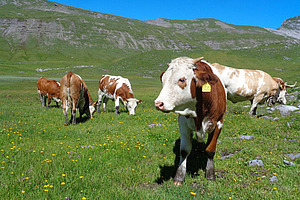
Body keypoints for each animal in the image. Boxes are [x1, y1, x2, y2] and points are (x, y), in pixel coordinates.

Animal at [155, 56, 225, 186]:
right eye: (163, 79)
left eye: (182, 79)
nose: (158, 104)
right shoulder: (182, 122)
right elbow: (184, 150)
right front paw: (179, 177)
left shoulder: (219, 122)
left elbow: (210, 150)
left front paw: (210, 175)